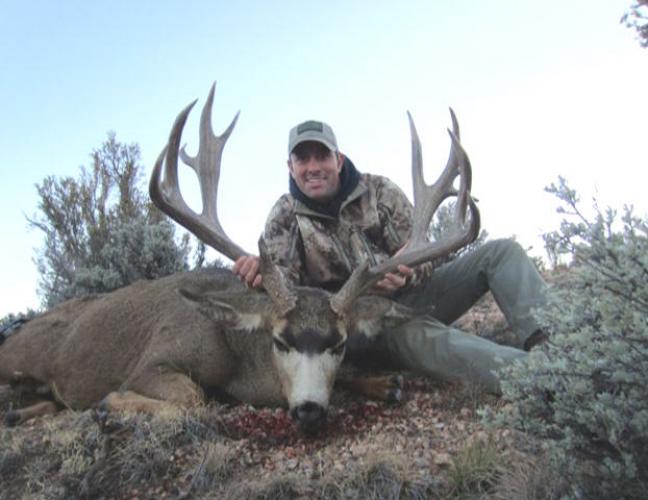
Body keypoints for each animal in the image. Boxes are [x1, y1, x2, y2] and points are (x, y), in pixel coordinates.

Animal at [0, 83, 479, 433]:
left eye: (339, 343)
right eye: (279, 340)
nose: (308, 410)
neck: (236, 359)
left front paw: (384, 382)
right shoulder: (153, 360)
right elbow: (193, 398)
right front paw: (107, 405)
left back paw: (19, 411)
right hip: (21, 355)